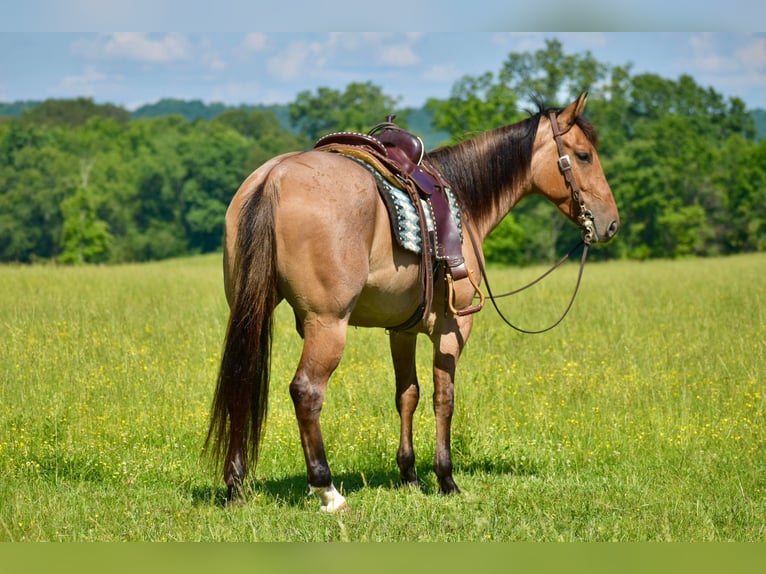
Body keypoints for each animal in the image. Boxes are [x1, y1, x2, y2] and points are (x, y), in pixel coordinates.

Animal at [206, 93, 624, 512]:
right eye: (584, 155)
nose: (611, 224)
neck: (464, 202)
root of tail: (272, 178)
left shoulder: (401, 330)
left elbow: (407, 395)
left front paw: (409, 474)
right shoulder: (453, 327)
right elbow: (444, 398)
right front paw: (446, 478)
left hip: (249, 310)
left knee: (242, 380)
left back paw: (236, 485)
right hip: (327, 324)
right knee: (307, 391)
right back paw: (327, 489)